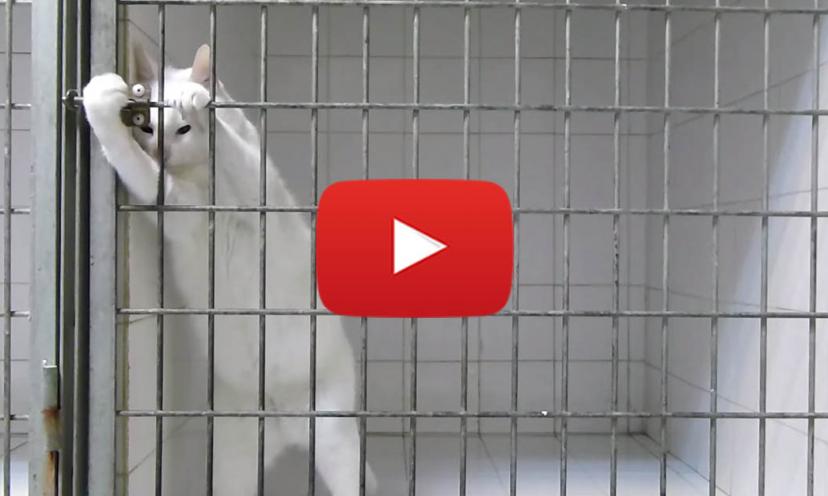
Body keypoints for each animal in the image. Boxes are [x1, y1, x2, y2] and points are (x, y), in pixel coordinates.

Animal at [82, 42, 376, 496]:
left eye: (183, 130)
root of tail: (280, 421)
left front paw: (200, 102)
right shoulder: (168, 197)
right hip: (229, 459)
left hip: (331, 432)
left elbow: (232, 147)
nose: (160, 153)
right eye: (145, 128)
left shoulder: (259, 187)